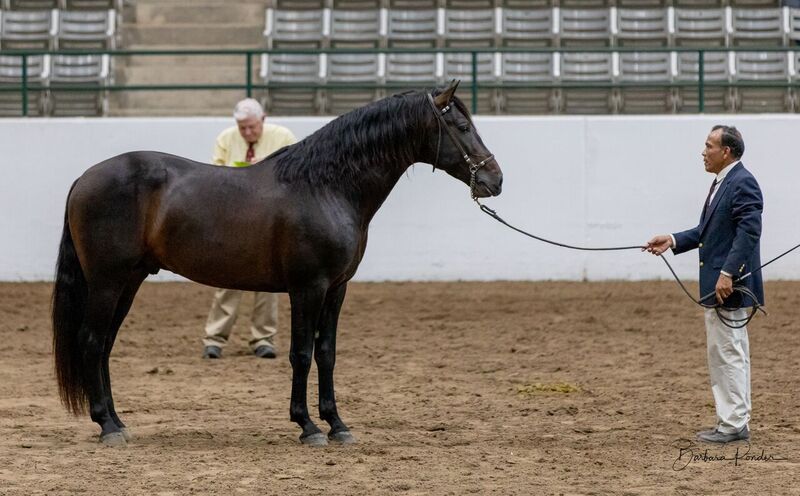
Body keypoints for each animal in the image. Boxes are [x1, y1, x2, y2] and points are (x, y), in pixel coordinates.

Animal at [51, 80, 503, 447]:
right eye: (462, 128)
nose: (494, 180)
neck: (325, 187)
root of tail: (84, 178)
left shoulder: (337, 289)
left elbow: (326, 353)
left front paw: (338, 425)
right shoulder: (308, 288)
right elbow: (301, 353)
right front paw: (308, 427)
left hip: (129, 281)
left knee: (104, 345)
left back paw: (118, 421)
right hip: (107, 282)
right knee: (91, 341)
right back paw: (107, 427)